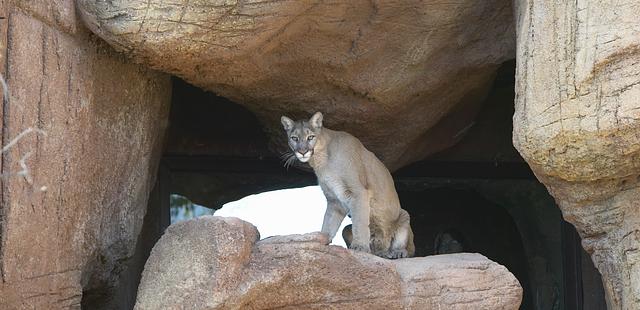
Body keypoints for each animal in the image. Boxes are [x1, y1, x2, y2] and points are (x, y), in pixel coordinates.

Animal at [280, 112, 416, 258]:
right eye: (294, 138)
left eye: (310, 137)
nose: (302, 151)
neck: (321, 159)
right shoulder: (334, 200)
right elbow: (328, 222)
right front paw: (321, 240)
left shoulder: (358, 192)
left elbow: (360, 222)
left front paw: (360, 246)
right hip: (347, 228)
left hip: (404, 215)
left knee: (405, 248)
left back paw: (396, 252)